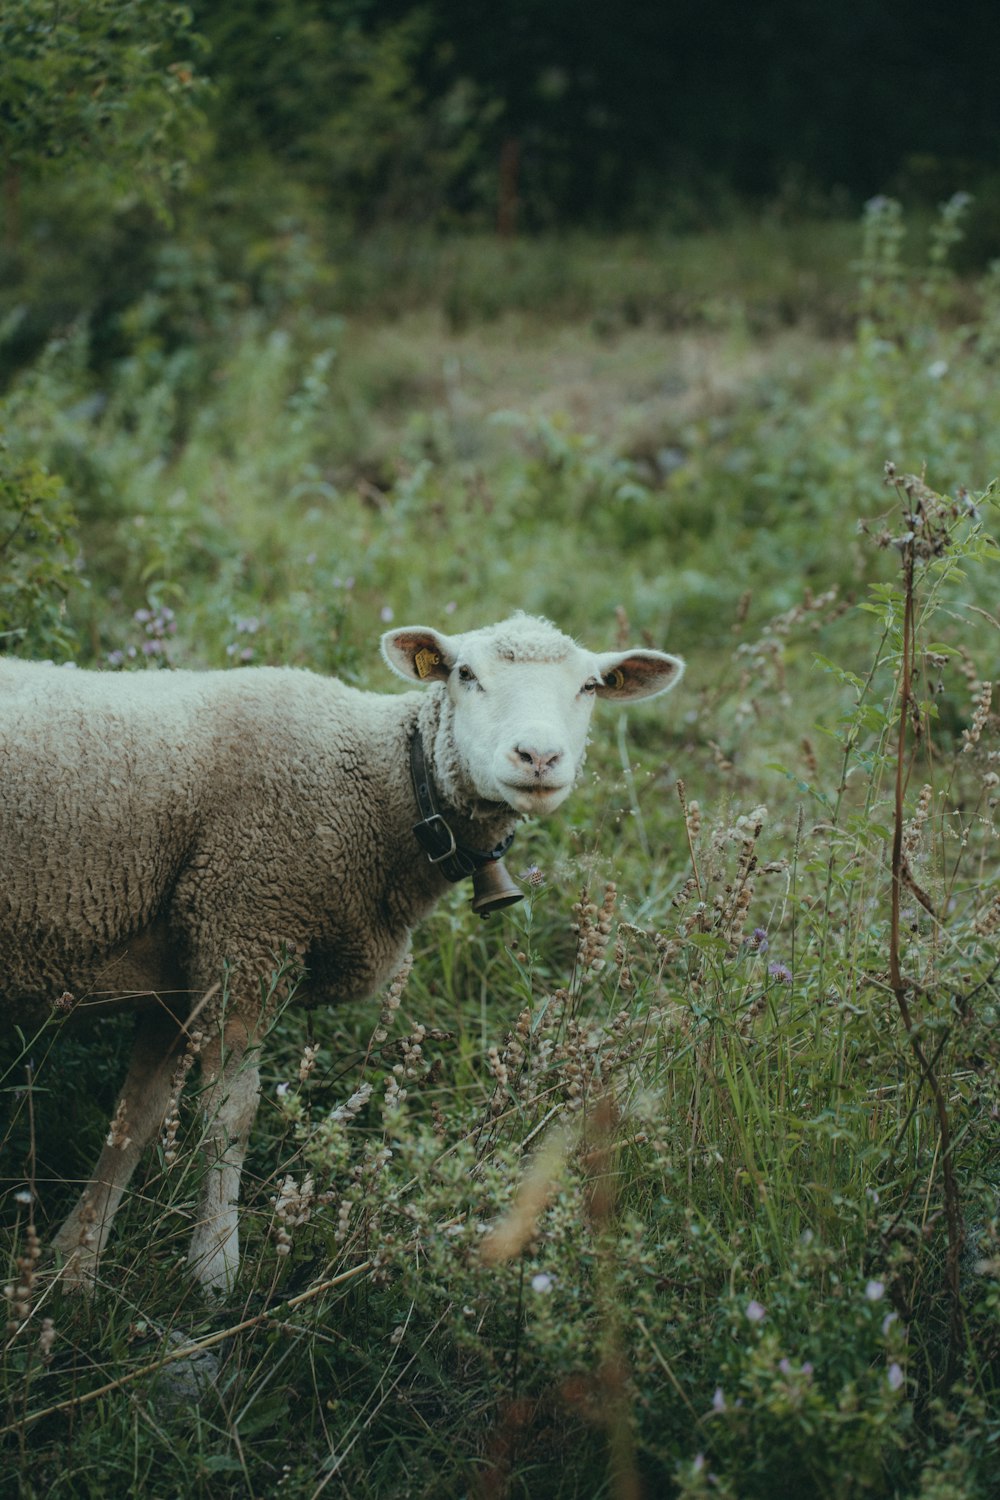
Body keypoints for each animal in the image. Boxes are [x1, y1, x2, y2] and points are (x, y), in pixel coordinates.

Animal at [0, 609, 683, 1290]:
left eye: (590, 686)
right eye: (465, 674)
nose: (538, 756)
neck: (381, 784)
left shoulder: (182, 966)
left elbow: (134, 1119)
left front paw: (76, 1263)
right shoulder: (245, 928)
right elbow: (229, 1116)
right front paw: (215, 1267)